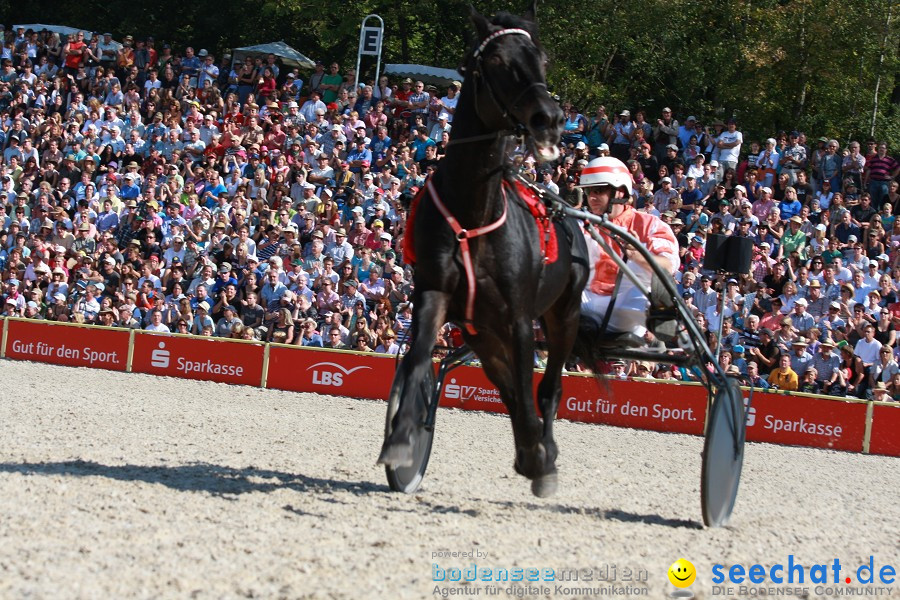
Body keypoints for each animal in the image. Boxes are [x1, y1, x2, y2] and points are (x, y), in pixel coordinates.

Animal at [376, 8, 588, 496]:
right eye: (496, 61)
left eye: (541, 59)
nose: (549, 118)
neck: (472, 215)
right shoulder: (435, 293)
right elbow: (419, 358)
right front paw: (403, 438)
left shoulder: (519, 315)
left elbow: (530, 387)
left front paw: (540, 459)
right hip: (481, 332)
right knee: (507, 385)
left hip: (563, 313)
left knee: (548, 388)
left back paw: (544, 452)